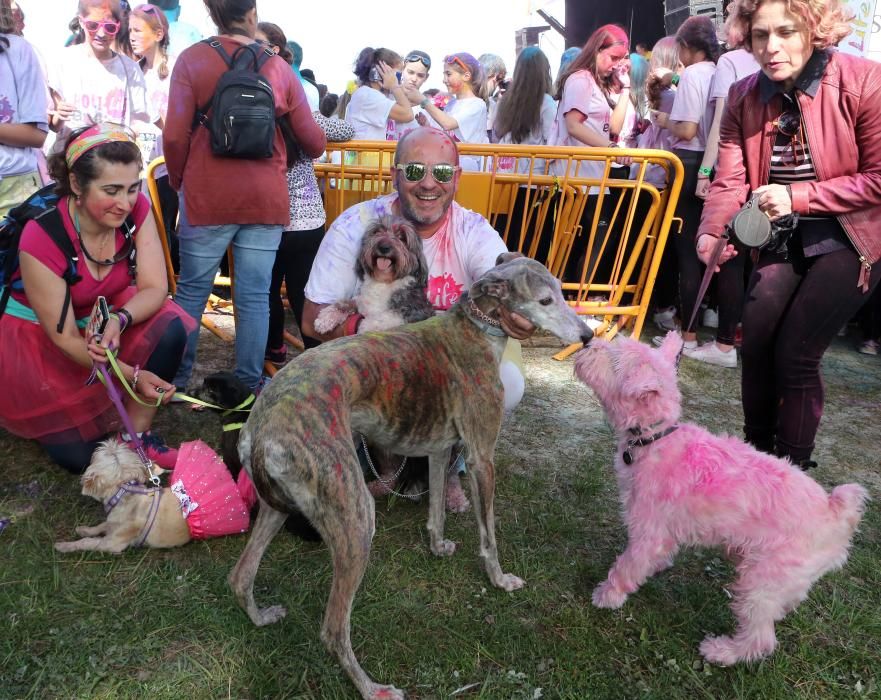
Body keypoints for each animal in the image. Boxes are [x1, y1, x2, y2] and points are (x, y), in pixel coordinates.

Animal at [572, 334, 868, 668]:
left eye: (614, 358)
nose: (586, 342)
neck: (657, 437)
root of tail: (837, 513)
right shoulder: (663, 531)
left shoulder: (648, 530)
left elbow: (626, 566)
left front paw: (607, 596)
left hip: (760, 581)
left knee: (761, 637)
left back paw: (722, 651)